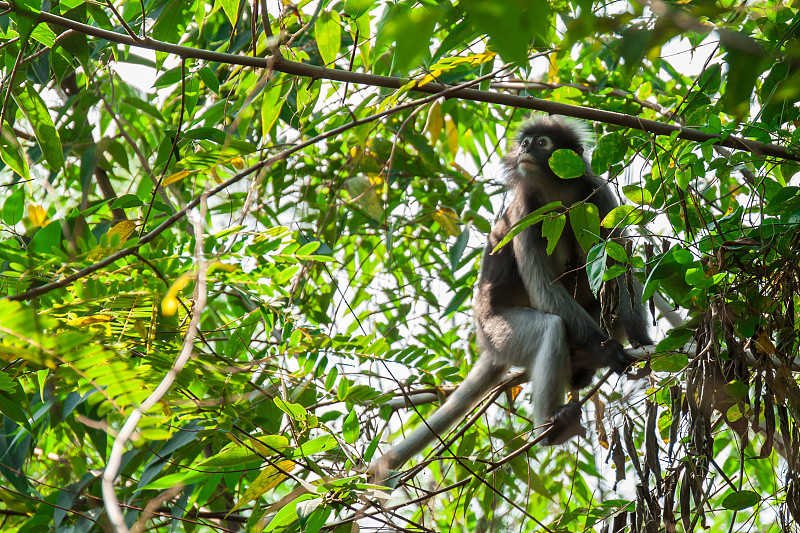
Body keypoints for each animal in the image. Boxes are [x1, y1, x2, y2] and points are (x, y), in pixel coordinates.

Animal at [372, 114, 652, 480]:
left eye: (543, 142)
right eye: (526, 142)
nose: (526, 150)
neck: (558, 191)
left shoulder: (599, 194)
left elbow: (620, 270)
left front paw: (643, 342)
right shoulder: (525, 212)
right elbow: (545, 288)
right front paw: (607, 351)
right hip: (499, 334)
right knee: (551, 327)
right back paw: (552, 426)